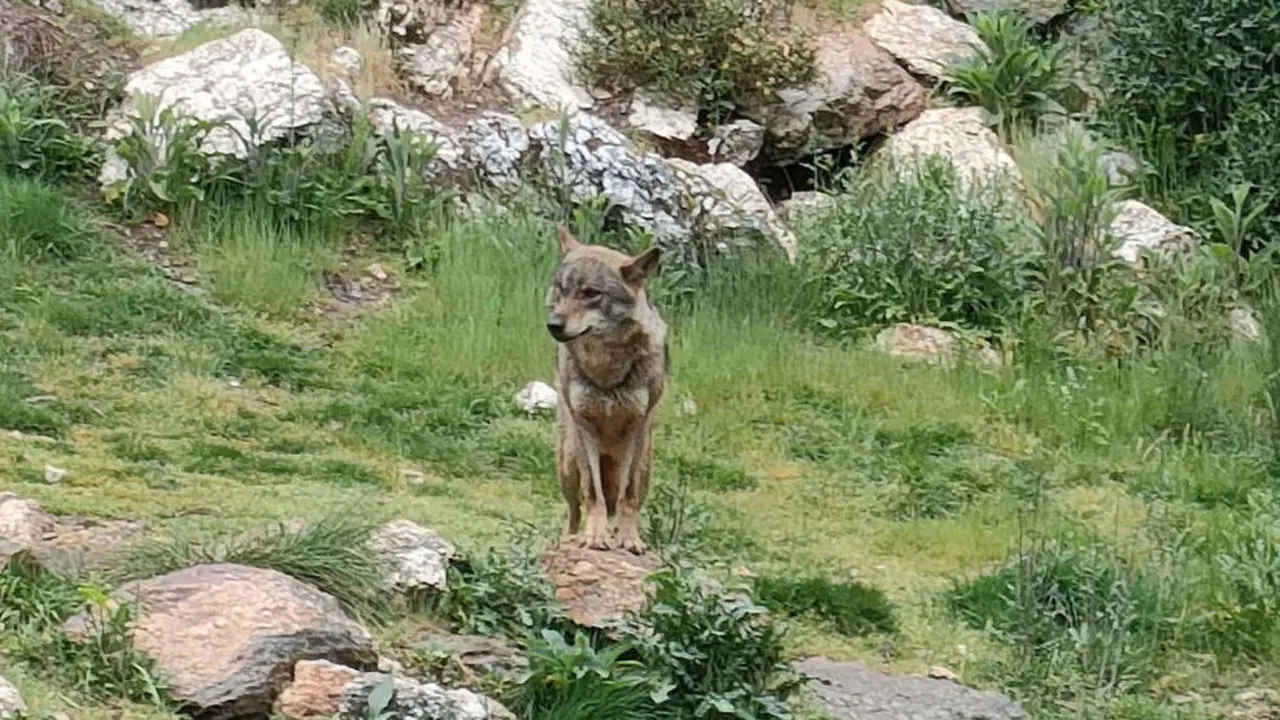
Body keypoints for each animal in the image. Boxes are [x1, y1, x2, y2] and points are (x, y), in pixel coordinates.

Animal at [545, 224, 670, 556]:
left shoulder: (638, 427)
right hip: (568, 462)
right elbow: (593, 493)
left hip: (646, 465)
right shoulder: (584, 425)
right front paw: (594, 537)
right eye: (561, 289)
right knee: (573, 510)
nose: (553, 324)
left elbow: (628, 497)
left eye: (591, 293)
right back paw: (570, 539)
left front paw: (628, 539)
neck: (607, 369)